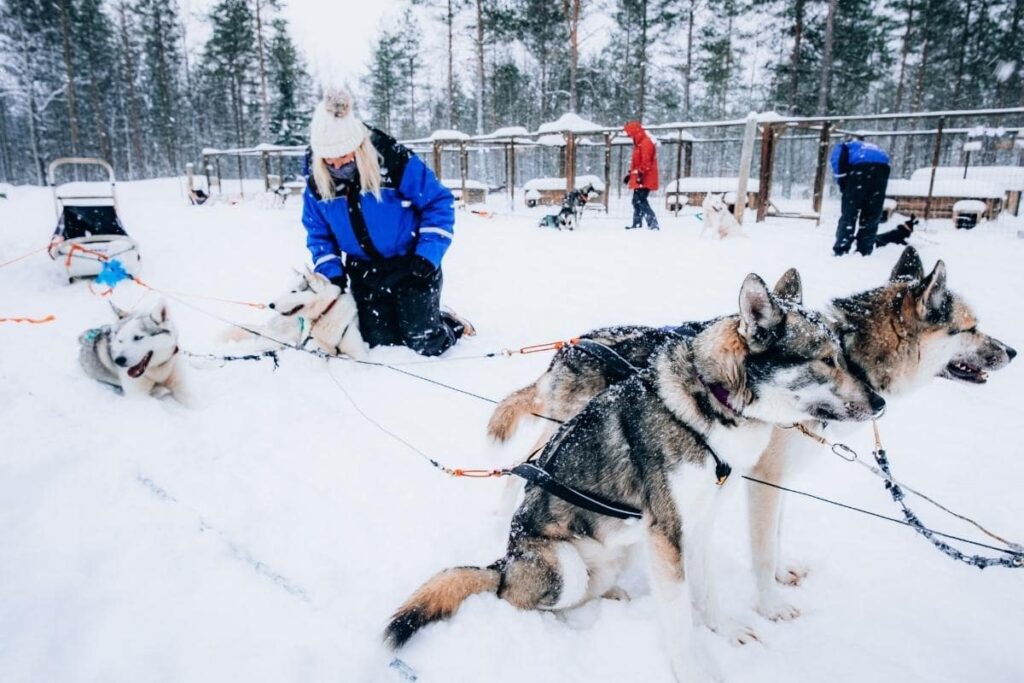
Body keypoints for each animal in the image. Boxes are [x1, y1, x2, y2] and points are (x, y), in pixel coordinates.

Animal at [224, 268, 364, 358]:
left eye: (293, 291)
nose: (271, 305)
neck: (324, 314)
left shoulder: (359, 352)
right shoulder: (314, 350)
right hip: (279, 339)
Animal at [387, 274, 884, 683]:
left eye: (844, 355)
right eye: (826, 360)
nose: (879, 403)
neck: (711, 402)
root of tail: (504, 561)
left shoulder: (698, 524)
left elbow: (706, 591)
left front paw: (724, 629)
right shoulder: (667, 532)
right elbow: (678, 618)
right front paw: (694, 672)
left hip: (622, 550)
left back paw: (615, 594)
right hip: (563, 569)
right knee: (515, 597)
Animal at [487, 246, 1015, 626]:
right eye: (972, 328)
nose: (1011, 351)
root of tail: (569, 346)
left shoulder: (778, 479)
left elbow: (775, 536)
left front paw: (781, 571)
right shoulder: (764, 478)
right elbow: (761, 548)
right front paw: (770, 604)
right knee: (518, 472)